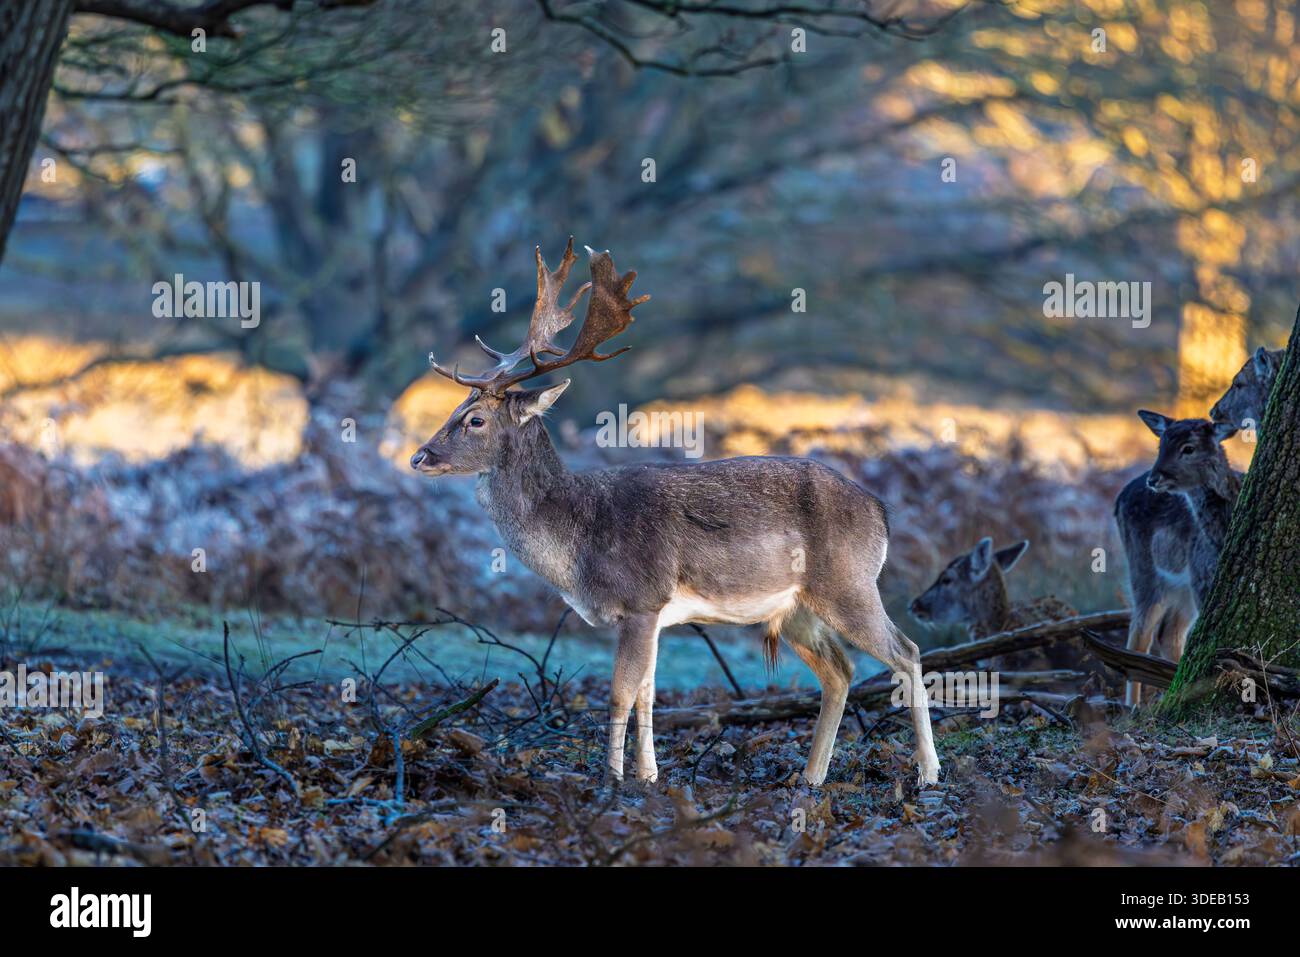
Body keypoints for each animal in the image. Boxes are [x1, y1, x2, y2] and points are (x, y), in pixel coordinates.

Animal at [410, 238, 940, 789]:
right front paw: (648, 775)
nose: (419, 456)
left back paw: (928, 773)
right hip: (796, 608)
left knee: (907, 651)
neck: (580, 540)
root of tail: (880, 511)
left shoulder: (641, 599)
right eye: (454, 409)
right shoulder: (655, 614)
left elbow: (621, 693)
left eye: (474, 419)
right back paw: (810, 777)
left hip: (849, 581)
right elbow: (647, 692)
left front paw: (612, 778)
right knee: (840, 671)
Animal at [1114, 411, 1241, 706]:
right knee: (1139, 634)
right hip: (1144, 568)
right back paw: (1132, 706)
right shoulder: (1203, 575)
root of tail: (1119, 498)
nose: (1154, 478)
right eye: (1160, 445)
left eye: (1188, 448)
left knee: (1168, 633)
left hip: (1182, 586)